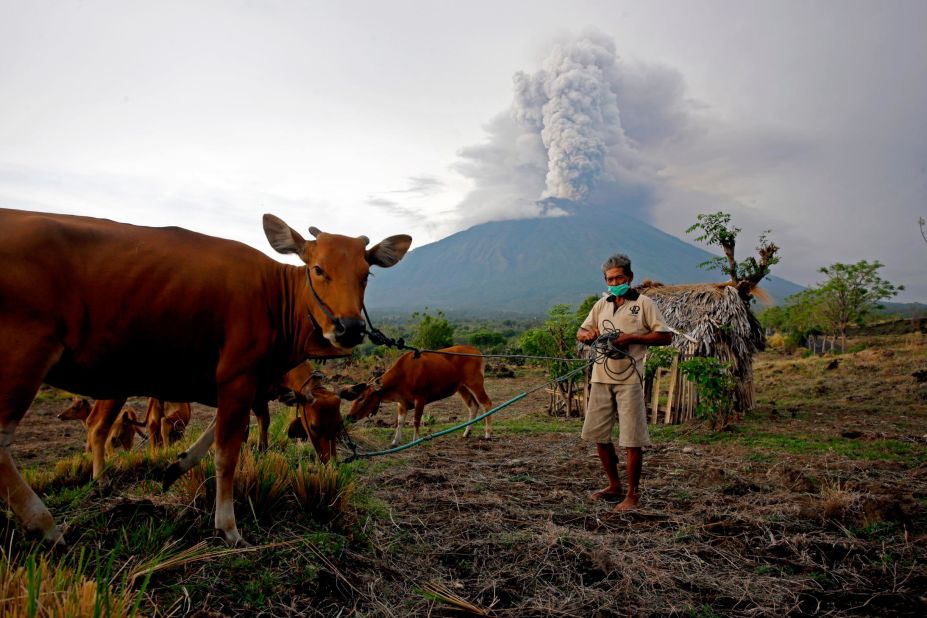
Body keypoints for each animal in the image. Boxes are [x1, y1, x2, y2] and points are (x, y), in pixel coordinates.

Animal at [0, 208, 410, 544]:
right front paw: (227, 526)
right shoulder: (238, 378)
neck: (275, 297)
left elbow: (216, 436)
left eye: (366, 274)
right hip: (24, 358)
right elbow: (227, 454)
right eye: (318, 269)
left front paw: (175, 467)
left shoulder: (238, 386)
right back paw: (46, 523)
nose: (350, 328)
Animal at [342, 344, 492, 446]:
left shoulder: (420, 398)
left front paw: (415, 440)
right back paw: (466, 433)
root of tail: (476, 352)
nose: (349, 416)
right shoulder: (402, 403)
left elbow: (416, 420)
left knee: (486, 403)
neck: (403, 374)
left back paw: (487, 434)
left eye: (361, 398)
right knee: (473, 407)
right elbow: (400, 422)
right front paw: (395, 441)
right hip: (462, 388)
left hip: (475, 383)